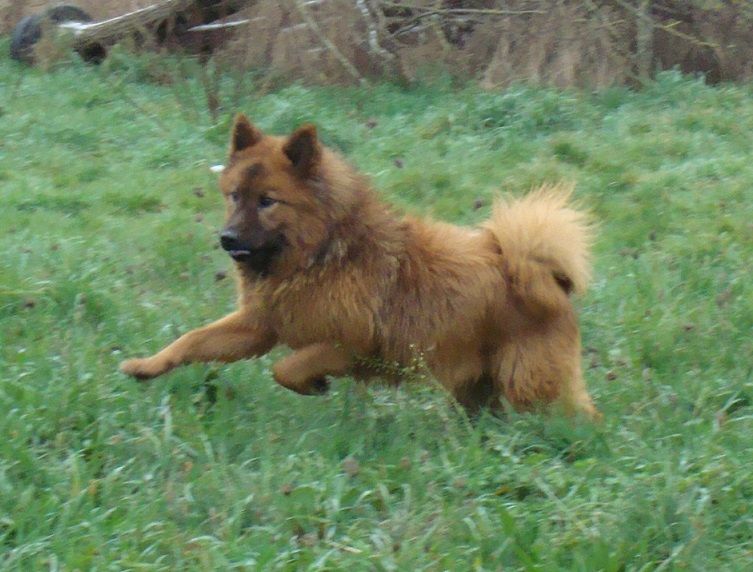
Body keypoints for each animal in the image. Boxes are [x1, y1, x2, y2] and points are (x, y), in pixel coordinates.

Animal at [120, 114, 599, 419]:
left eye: (268, 201)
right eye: (235, 195)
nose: (227, 239)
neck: (318, 256)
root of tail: (548, 278)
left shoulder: (350, 344)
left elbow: (285, 368)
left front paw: (313, 384)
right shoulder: (258, 326)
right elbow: (191, 341)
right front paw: (146, 365)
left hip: (531, 385)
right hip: (477, 387)